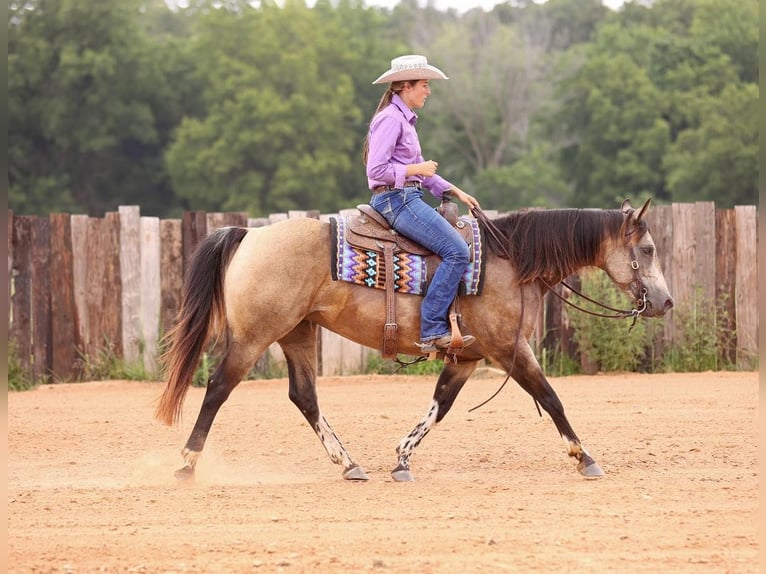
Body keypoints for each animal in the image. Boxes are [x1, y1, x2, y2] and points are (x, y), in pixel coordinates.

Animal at [154, 198, 672, 482]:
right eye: (647, 249)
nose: (665, 302)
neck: (511, 260)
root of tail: (250, 236)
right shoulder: (510, 350)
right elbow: (552, 398)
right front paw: (585, 457)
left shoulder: (467, 356)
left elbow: (440, 406)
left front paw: (402, 459)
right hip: (254, 337)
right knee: (218, 388)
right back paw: (185, 464)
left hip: (297, 333)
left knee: (304, 396)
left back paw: (348, 463)